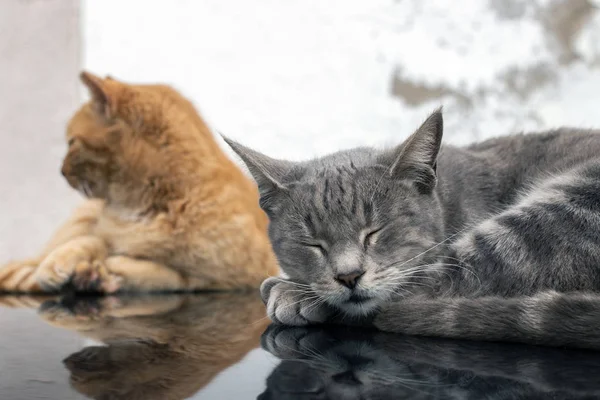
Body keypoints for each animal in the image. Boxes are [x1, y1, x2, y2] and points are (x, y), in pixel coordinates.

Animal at [0, 72, 280, 292]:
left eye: (72, 143)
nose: (61, 171)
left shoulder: (237, 276)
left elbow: (169, 275)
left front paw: (111, 271)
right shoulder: (100, 230)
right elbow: (93, 240)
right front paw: (63, 264)